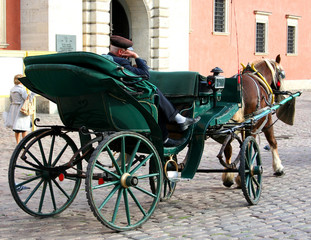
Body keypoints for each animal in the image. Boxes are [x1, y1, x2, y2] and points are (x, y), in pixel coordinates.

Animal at [222, 54, 288, 188]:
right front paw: (278, 167)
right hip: (252, 124)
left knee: (228, 148)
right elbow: (272, 141)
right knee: (247, 146)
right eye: (282, 74)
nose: (282, 95)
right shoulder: (267, 118)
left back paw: (229, 177)